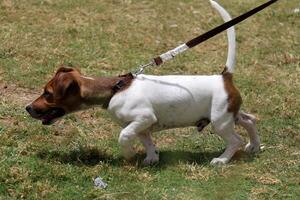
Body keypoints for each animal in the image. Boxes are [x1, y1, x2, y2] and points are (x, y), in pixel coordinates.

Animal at [25, 1, 260, 166]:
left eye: (47, 93)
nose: (27, 107)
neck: (114, 90)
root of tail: (224, 77)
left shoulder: (143, 118)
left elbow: (123, 136)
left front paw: (128, 154)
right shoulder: (142, 126)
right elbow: (147, 142)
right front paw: (151, 158)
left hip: (220, 120)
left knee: (235, 140)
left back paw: (222, 159)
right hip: (229, 114)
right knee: (249, 120)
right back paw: (254, 146)